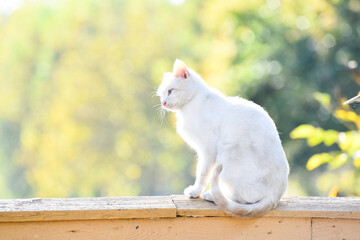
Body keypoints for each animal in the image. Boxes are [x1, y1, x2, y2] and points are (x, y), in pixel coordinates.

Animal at [156, 59, 288, 217]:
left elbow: (202, 173)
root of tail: (276, 196)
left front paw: (195, 191)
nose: (163, 102)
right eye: (161, 95)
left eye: (170, 91)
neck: (191, 105)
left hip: (228, 155)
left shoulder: (208, 149)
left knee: (246, 199)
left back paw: (212, 195)